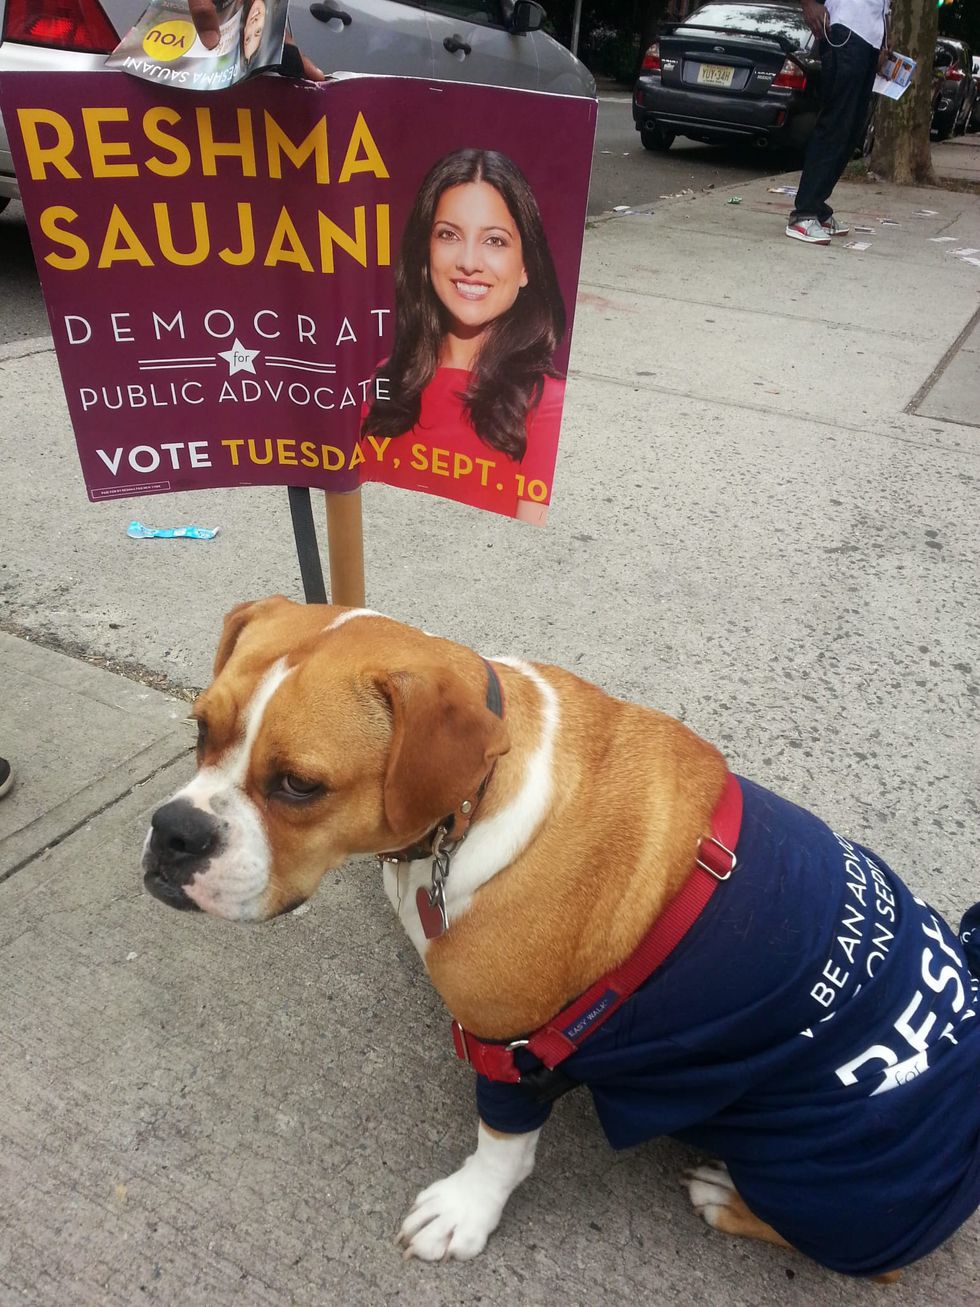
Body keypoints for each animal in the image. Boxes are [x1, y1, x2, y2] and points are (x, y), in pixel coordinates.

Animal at [143, 598, 980, 1275]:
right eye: (201, 728)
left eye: (299, 785)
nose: (174, 832)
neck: (472, 799)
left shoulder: (511, 1044)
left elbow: (502, 1143)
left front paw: (467, 1210)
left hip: (813, 1173)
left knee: (871, 1261)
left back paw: (724, 1194)